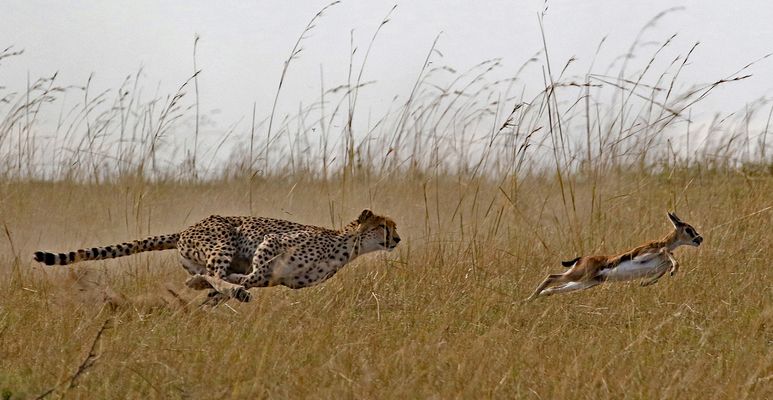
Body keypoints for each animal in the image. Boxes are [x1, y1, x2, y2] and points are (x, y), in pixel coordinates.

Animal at [33, 209, 400, 304]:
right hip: (223, 241)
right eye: (385, 226)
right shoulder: (271, 242)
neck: (348, 245)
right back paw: (228, 290)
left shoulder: (281, 280)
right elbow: (255, 271)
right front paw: (238, 284)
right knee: (212, 274)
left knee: (202, 278)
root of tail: (186, 228)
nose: (397, 238)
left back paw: (213, 294)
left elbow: (259, 278)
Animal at [527, 212, 702, 300]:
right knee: (551, 277)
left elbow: (664, 267)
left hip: (585, 283)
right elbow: (668, 253)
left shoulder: (657, 267)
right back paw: (528, 299)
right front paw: (672, 270)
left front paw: (645, 283)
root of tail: (582, 258)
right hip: (578, 275)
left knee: (551, 289)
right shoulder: (642, 254)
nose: (700, 239)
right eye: (688, 229)